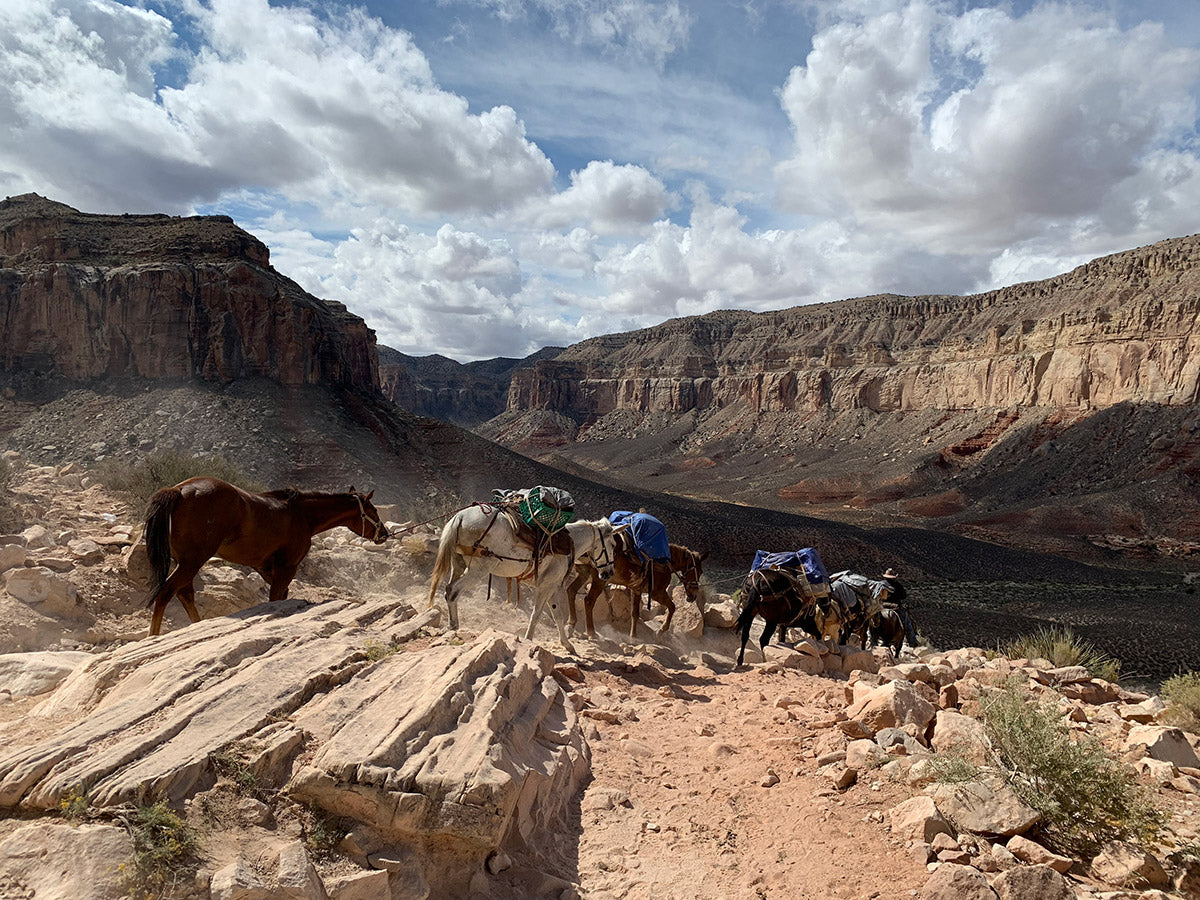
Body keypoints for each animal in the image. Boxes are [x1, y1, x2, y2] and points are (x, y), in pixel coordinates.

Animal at [143, 480, 388, 633]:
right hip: (193, 560)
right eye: (374, 511)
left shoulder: (265, 567)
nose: (384, 534)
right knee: (166, 592)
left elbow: (281, 595)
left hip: (184, 561)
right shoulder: (287, 566)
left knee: (184, 594)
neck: (301, 514)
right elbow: (276, 597)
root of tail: (179, 490)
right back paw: (153, 636)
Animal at [566, 542, 705, 643]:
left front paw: (633, 637)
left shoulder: (636, 590)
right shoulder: (657, 593)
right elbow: (672, 607)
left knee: (571, 591)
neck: (665, 562)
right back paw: (591, 633)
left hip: (585, 573)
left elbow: (635, 613)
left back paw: (571, 625)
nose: (693, 596)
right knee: (588, 601)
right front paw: (660, 631)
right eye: (699, 571)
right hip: (598, 580)